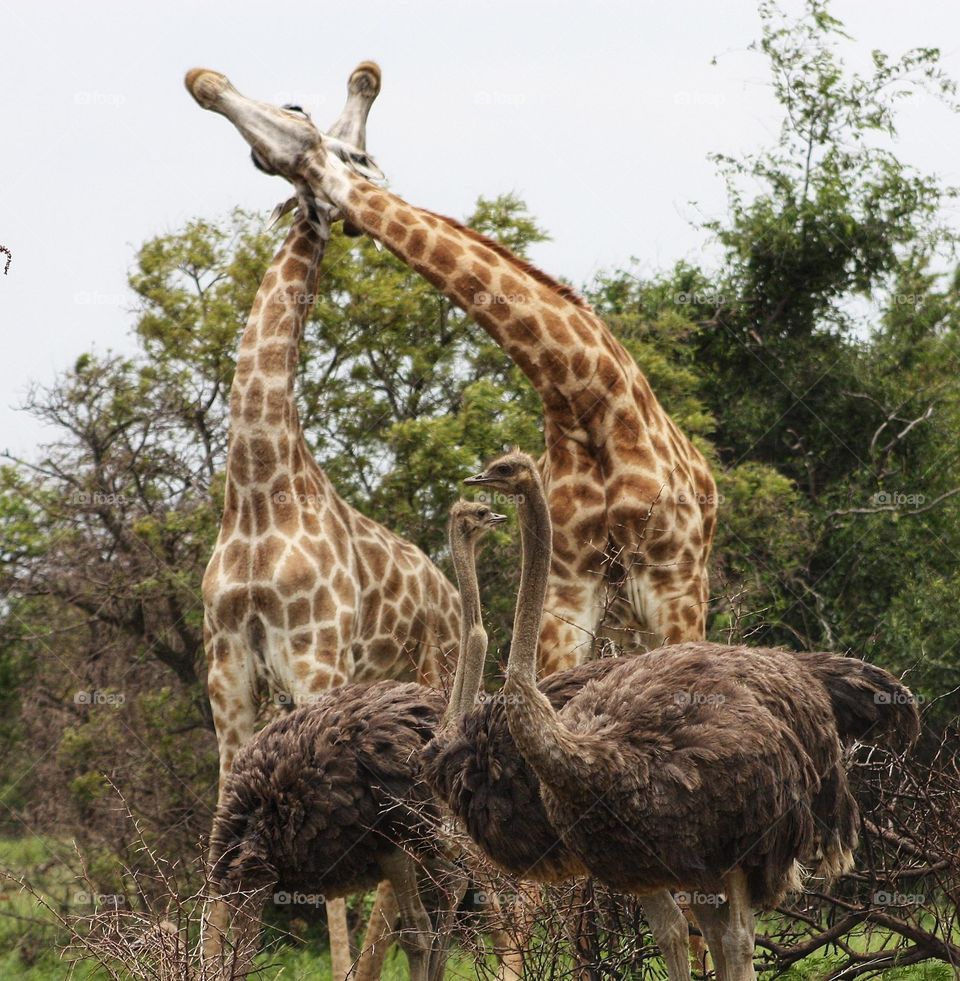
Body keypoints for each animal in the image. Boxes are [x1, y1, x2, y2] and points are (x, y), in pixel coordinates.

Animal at [197, 63, 460, 980]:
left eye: (356, 150)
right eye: (299, 108)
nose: (206, 80)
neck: (256, 490)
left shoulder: (316, 659)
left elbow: (333, 890)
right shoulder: (227, 670)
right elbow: (219, 838)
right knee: (404, 876)